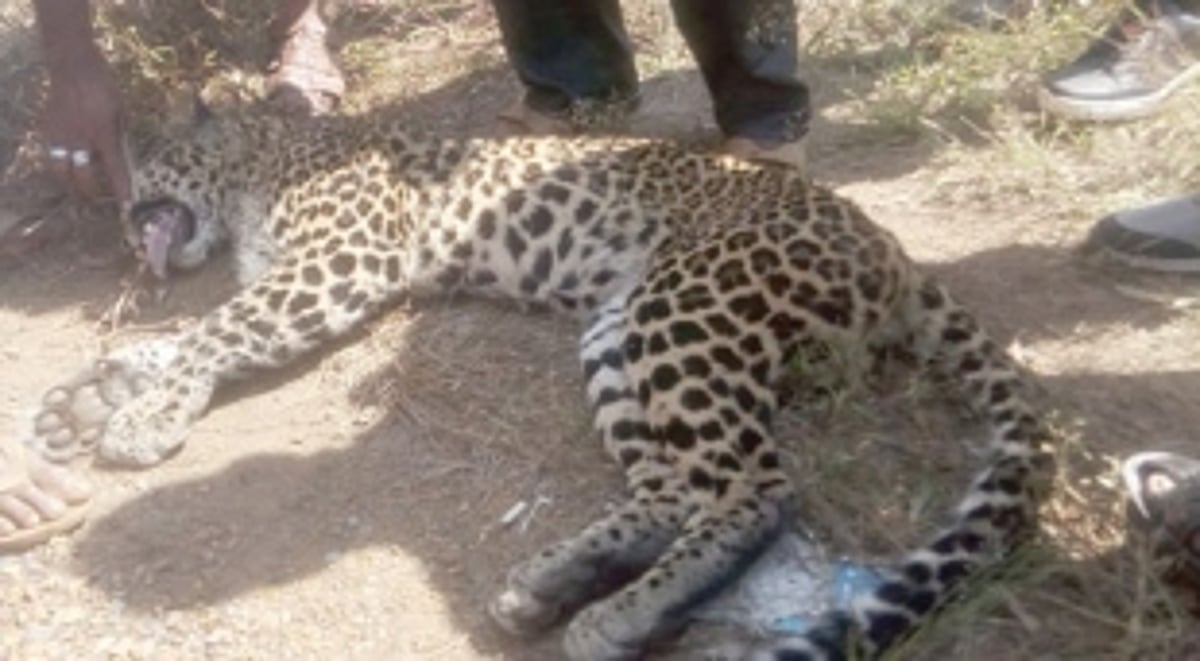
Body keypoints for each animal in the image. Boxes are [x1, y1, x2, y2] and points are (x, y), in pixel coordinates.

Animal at [22, 106, 1056, 661]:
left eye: (148, 169)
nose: (122, 222)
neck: (257, 165)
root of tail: (893, 251)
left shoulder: (334, 265)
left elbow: (215, 332)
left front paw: (141, 418)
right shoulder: (296, 273)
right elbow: (188, 333)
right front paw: (96, 391)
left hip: (686, 308)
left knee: (757, 487)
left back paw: (614, 612)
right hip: (615, 332)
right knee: (677, 485)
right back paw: (554, 584)